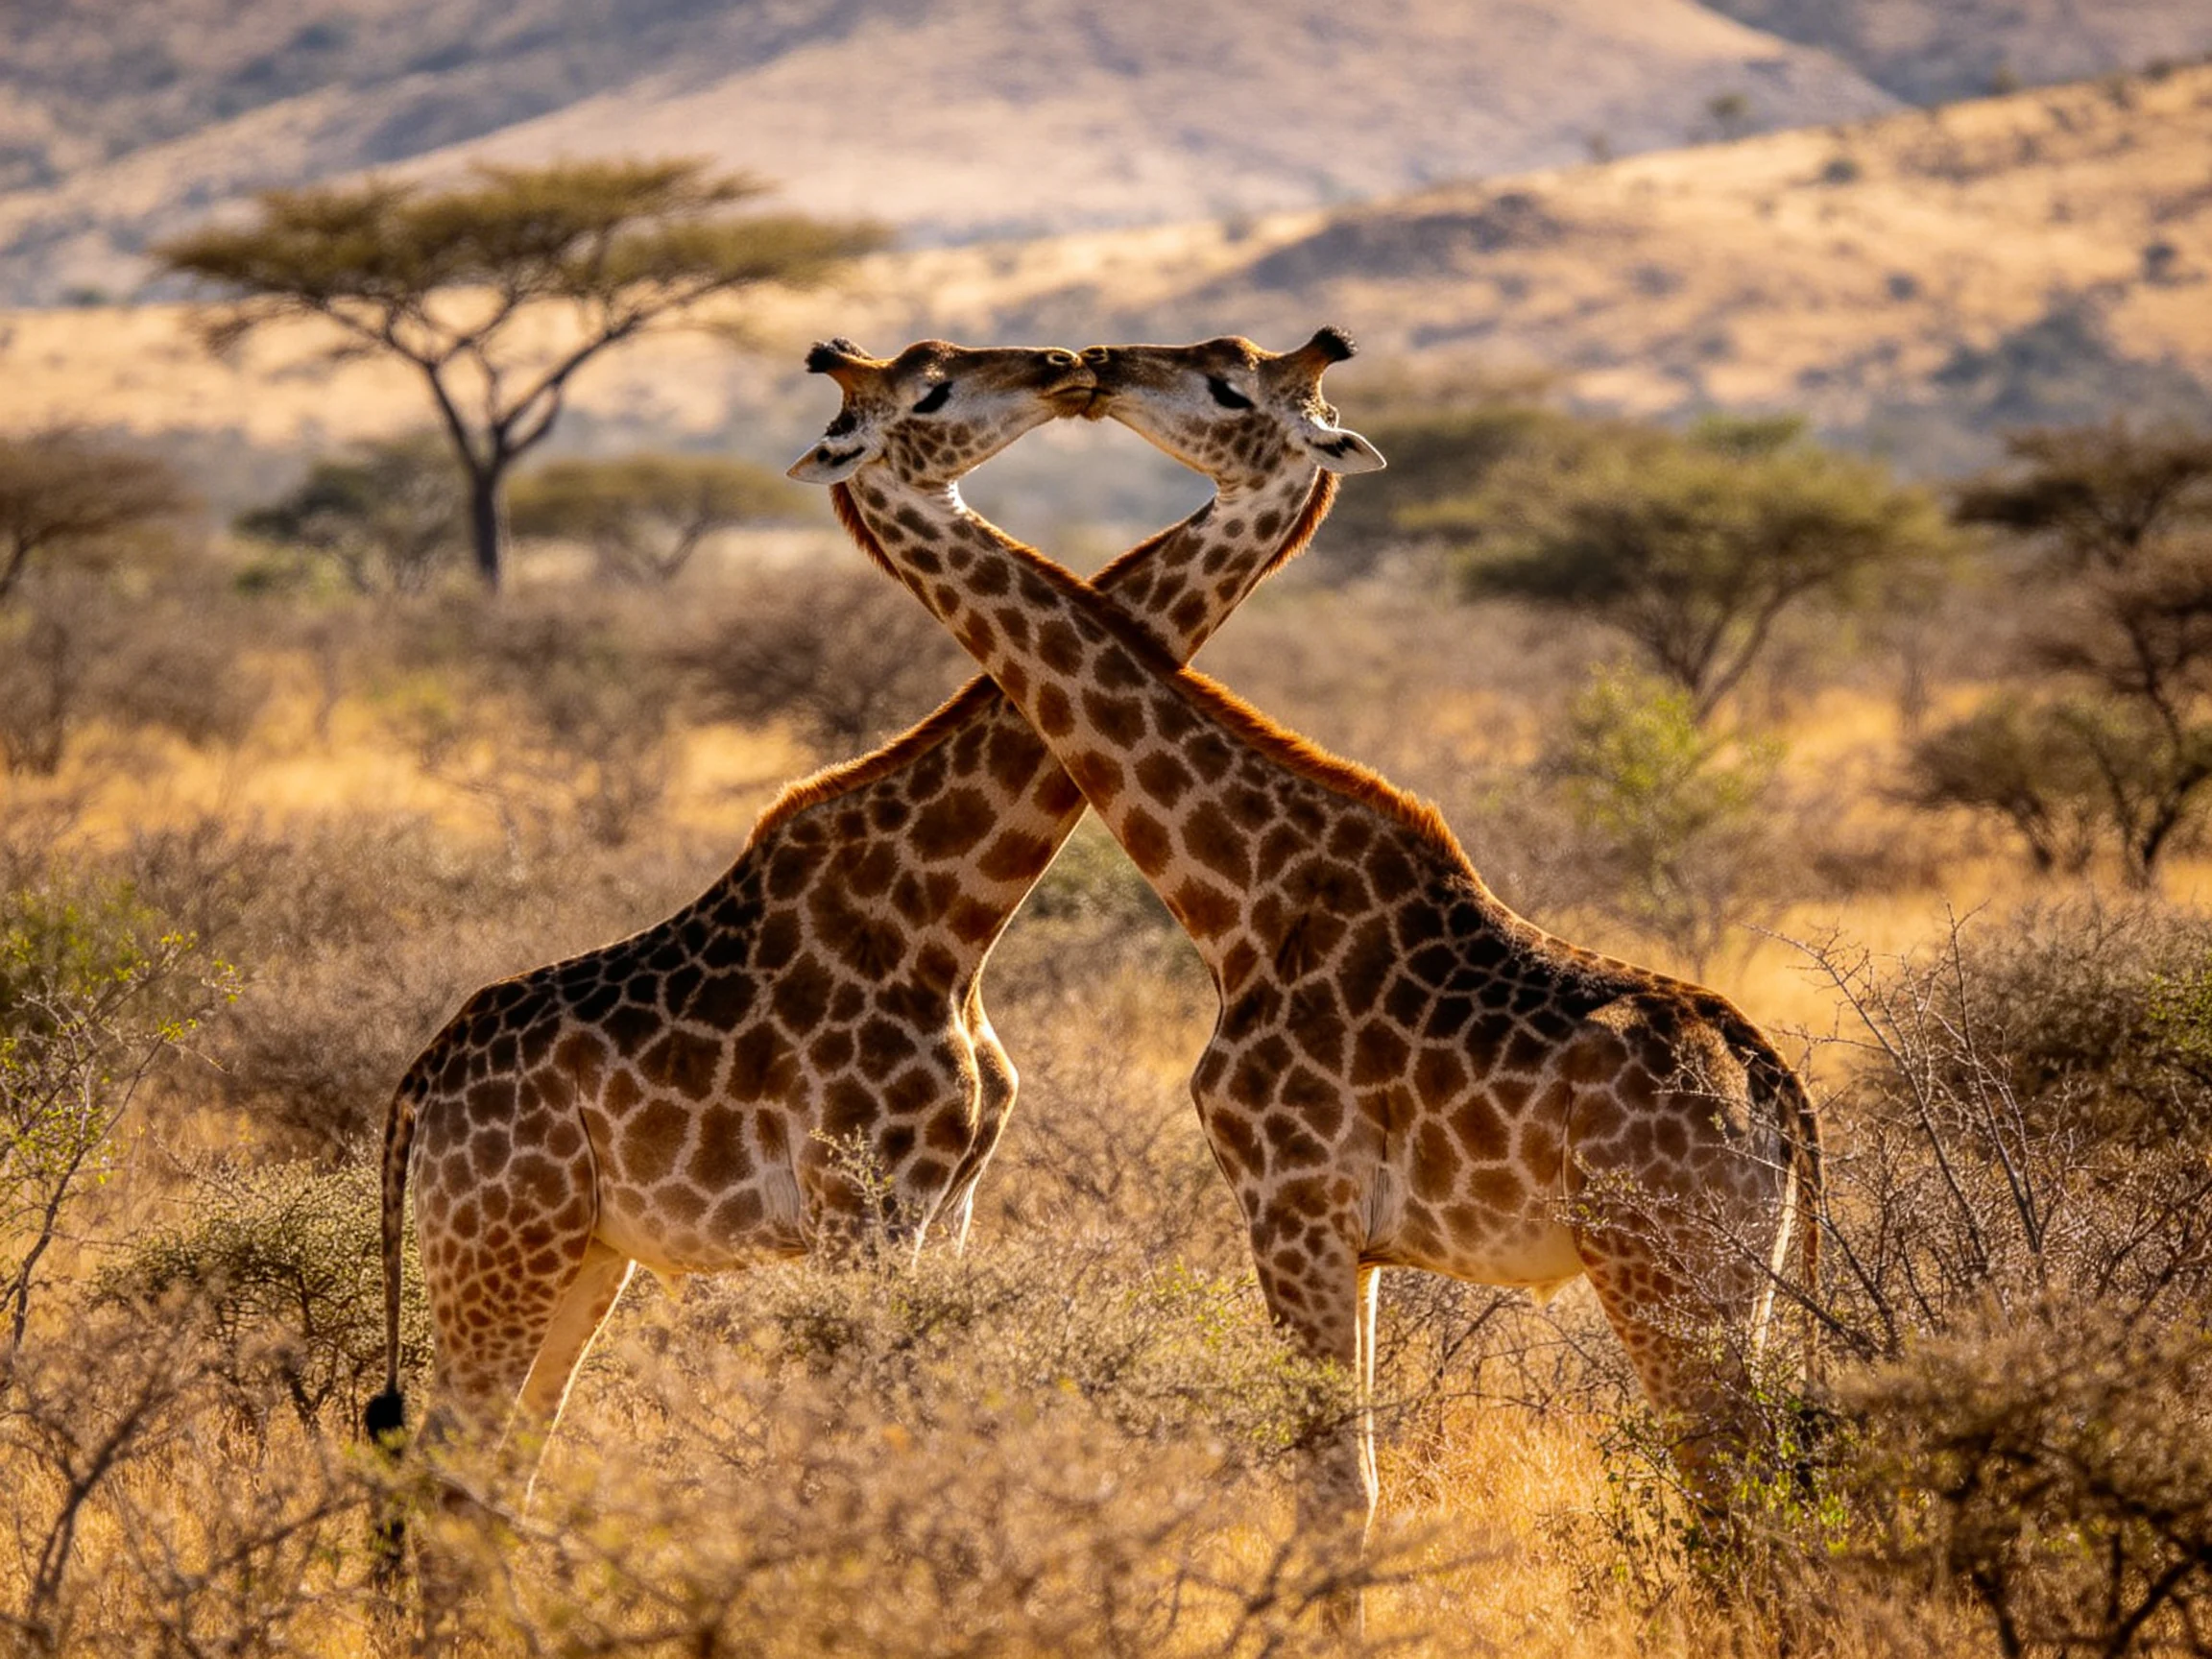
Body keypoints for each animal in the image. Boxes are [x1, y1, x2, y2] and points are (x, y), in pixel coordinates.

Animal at [369, 337, 1371, 1483]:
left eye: (1233, 378)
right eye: (931, 387)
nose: (1073, 363)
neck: (948, 919)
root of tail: (419, 1091)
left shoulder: (951, 1200)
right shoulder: (862, 1204)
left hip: (586, 1254)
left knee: (502, 1465)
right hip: (503, 1245)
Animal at [798, 335, 1822, 1587]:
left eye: (1228, 384)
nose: (1086, 362)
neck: (1245, 902)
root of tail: (1774, 1087)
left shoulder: (1292, 1201)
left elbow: (1333, 1488)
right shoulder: (1358, 1241)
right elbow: (1353, 1480)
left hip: (1665, 1266)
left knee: (1735, 1484)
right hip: (1736, 1279)